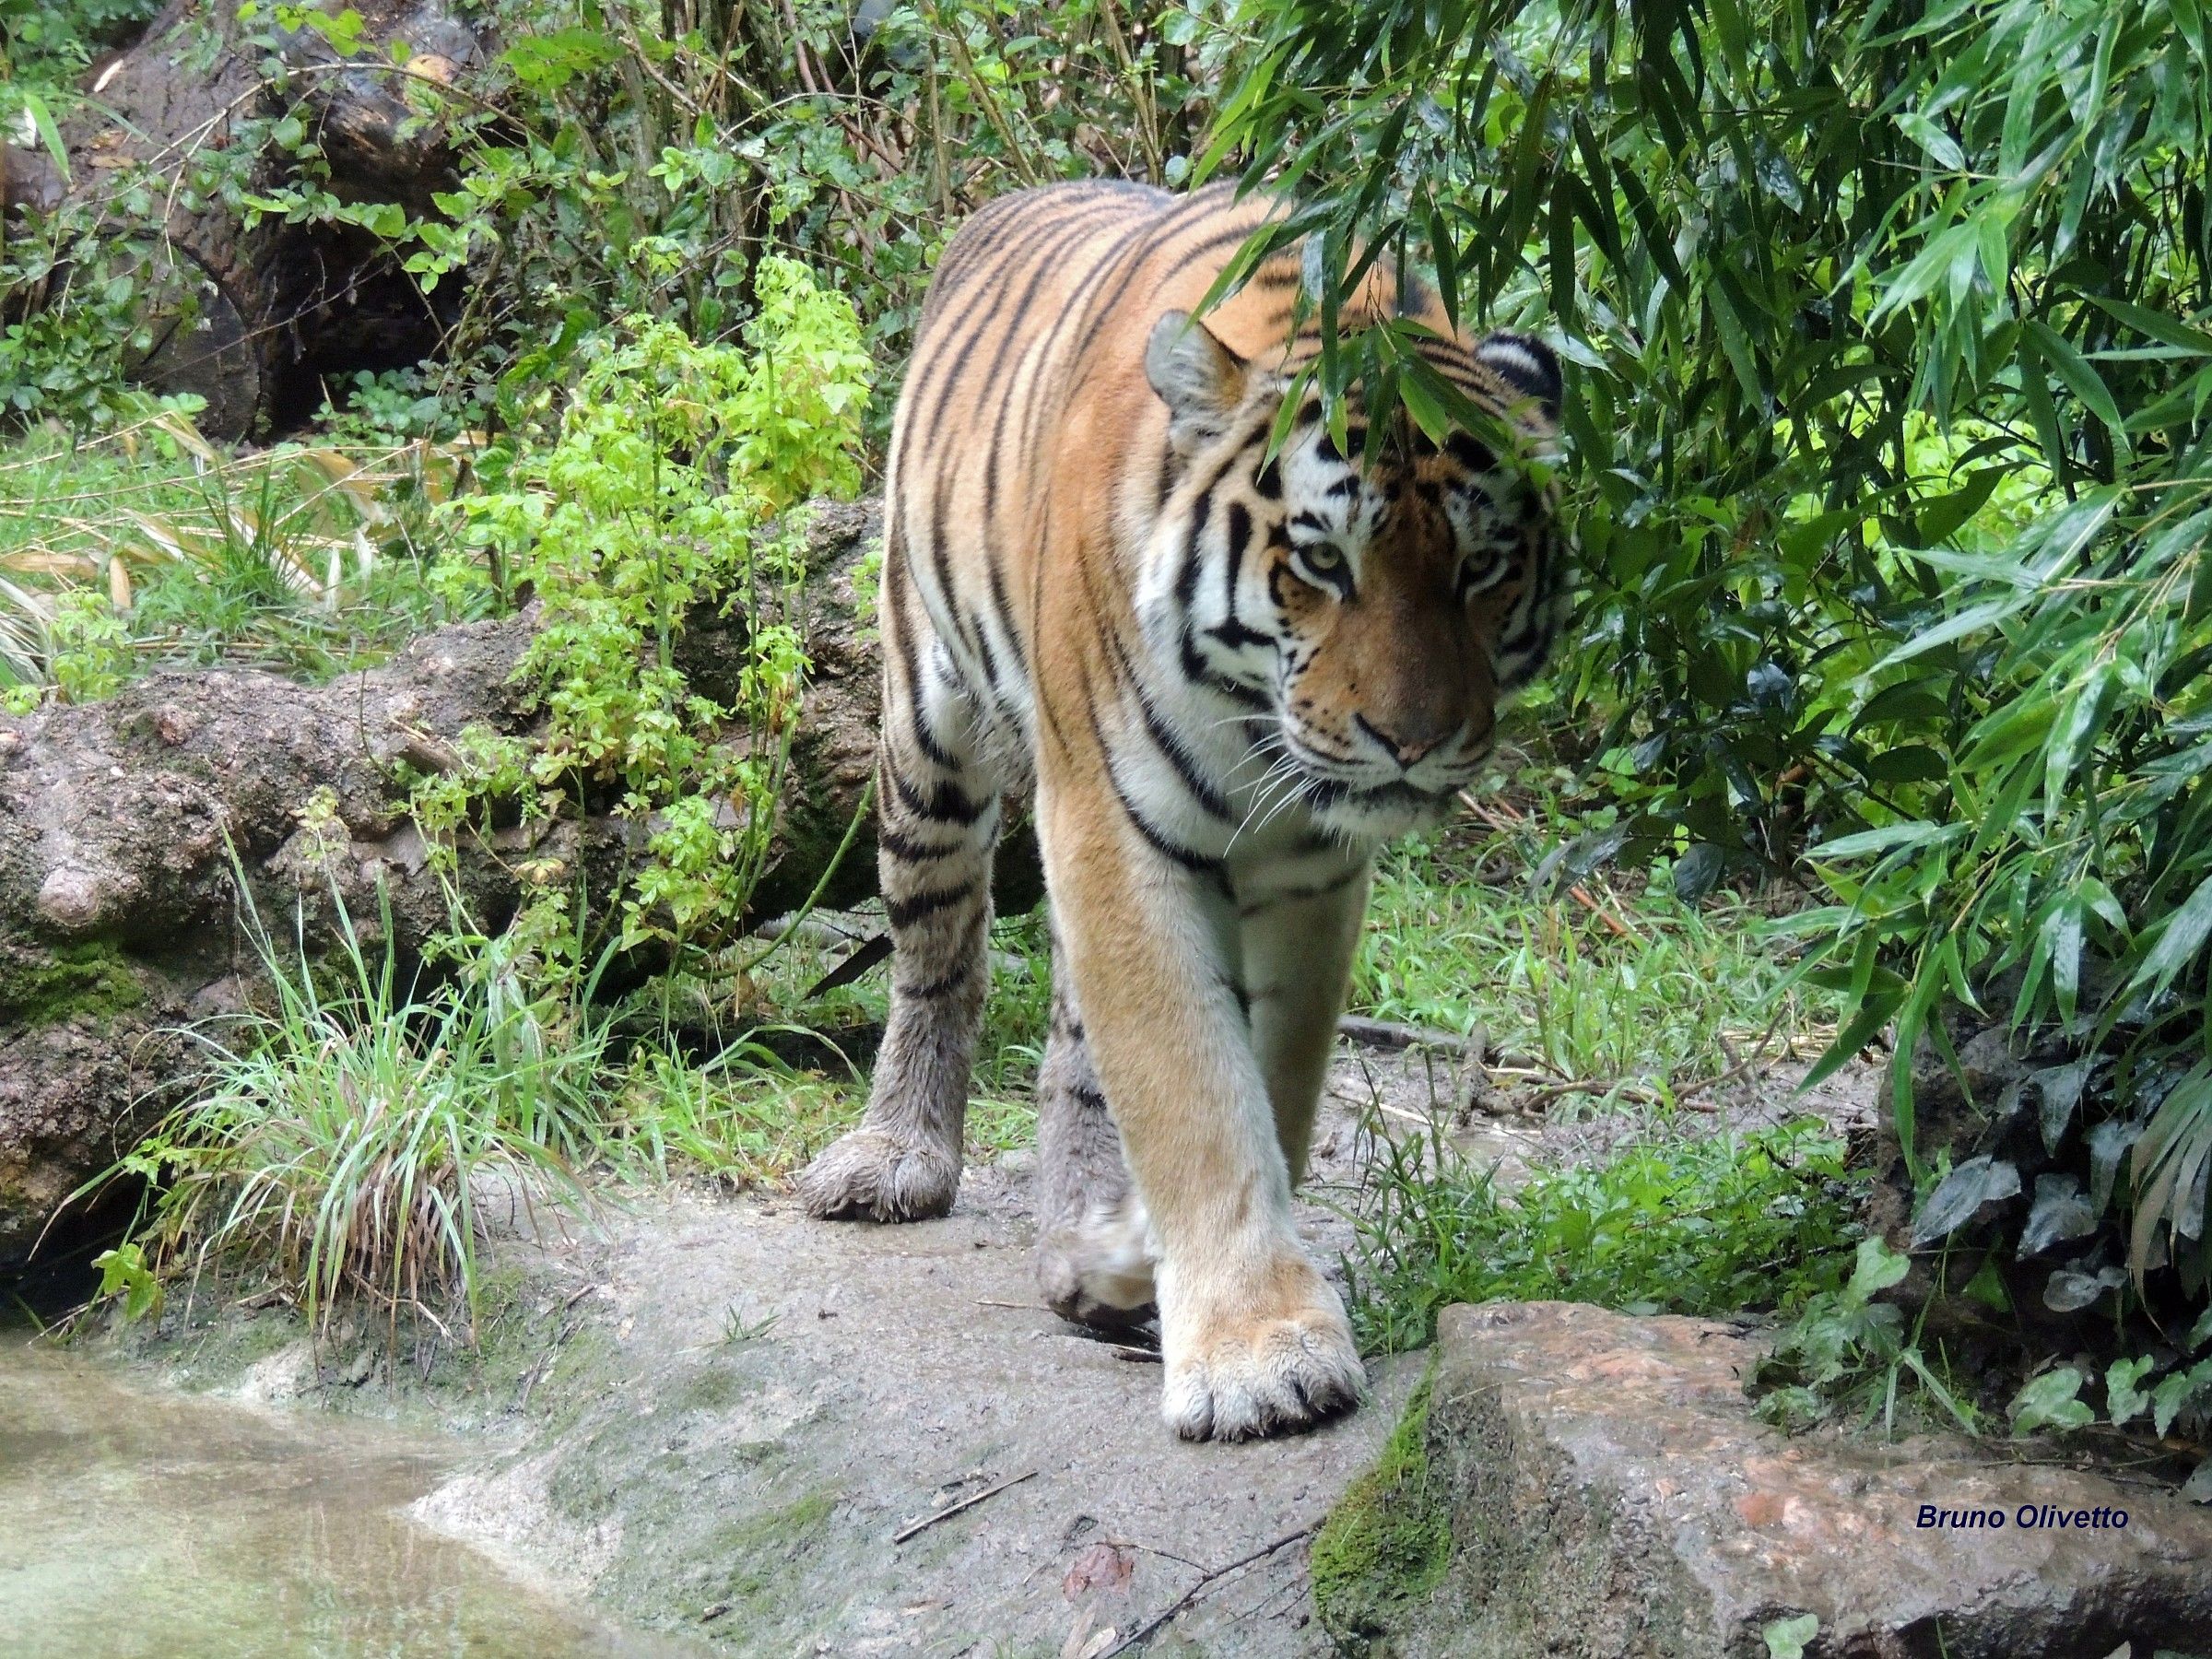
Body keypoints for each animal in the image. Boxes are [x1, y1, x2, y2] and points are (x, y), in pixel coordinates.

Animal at [796, 180, 1564, 1442]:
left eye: (1485, 567)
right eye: (1323, 559)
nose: (1414, 741)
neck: (1252, 721)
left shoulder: (1310, 872)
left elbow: (1268, 1080)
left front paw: (1137, 1265)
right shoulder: (1115, 827)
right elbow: (1192, 1086)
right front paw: (1260, 1358)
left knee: (1072, 1036)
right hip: (927, 731)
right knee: (938, 951)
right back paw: (896, 1157)